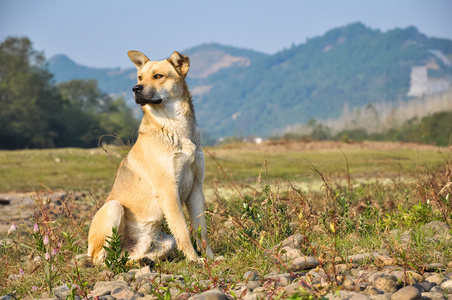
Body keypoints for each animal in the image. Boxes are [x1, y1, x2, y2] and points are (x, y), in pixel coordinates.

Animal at [88, 50, 215, 264]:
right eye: (140, 77)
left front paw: (211, 258)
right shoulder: (168, 191)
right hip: (113, 208)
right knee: (101, 258)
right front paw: (194, 260)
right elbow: (183, 231)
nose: (135, 88)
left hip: (165, 241)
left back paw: (143, 260)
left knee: (129, 257)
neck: (174, 126)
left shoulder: (196, 189)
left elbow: (202, 231)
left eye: (158, 76)